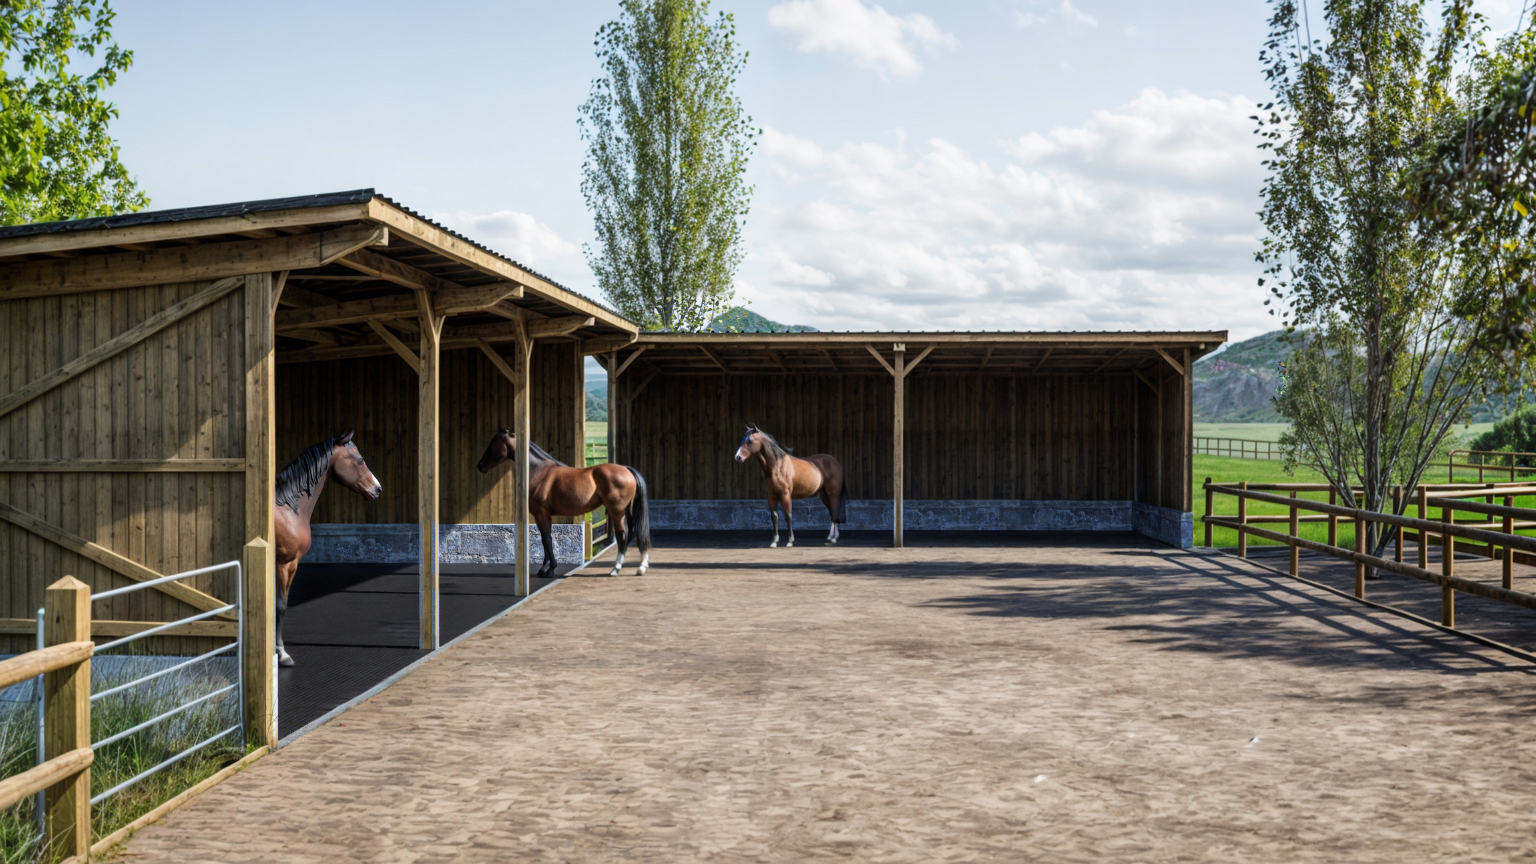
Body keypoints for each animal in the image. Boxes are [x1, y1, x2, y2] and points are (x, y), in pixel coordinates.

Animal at [271, 430, 379, 667]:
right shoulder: (285, 565)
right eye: (359, 460)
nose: (378, 489)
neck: (289, 508)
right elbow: (280, 606)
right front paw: (281, 653)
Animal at [476, 427, 651, 574]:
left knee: (623, 535)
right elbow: (544, 538)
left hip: (617, 511)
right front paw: (544, 568)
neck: (539, 471)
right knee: (633, 532)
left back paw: (615, 569)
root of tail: (626, 470)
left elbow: (547, 538)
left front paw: (550, 569)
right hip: (626, 510)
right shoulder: (541, 515)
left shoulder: (542, 513)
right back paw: (639, 566)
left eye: (494, 443)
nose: (480, 466)